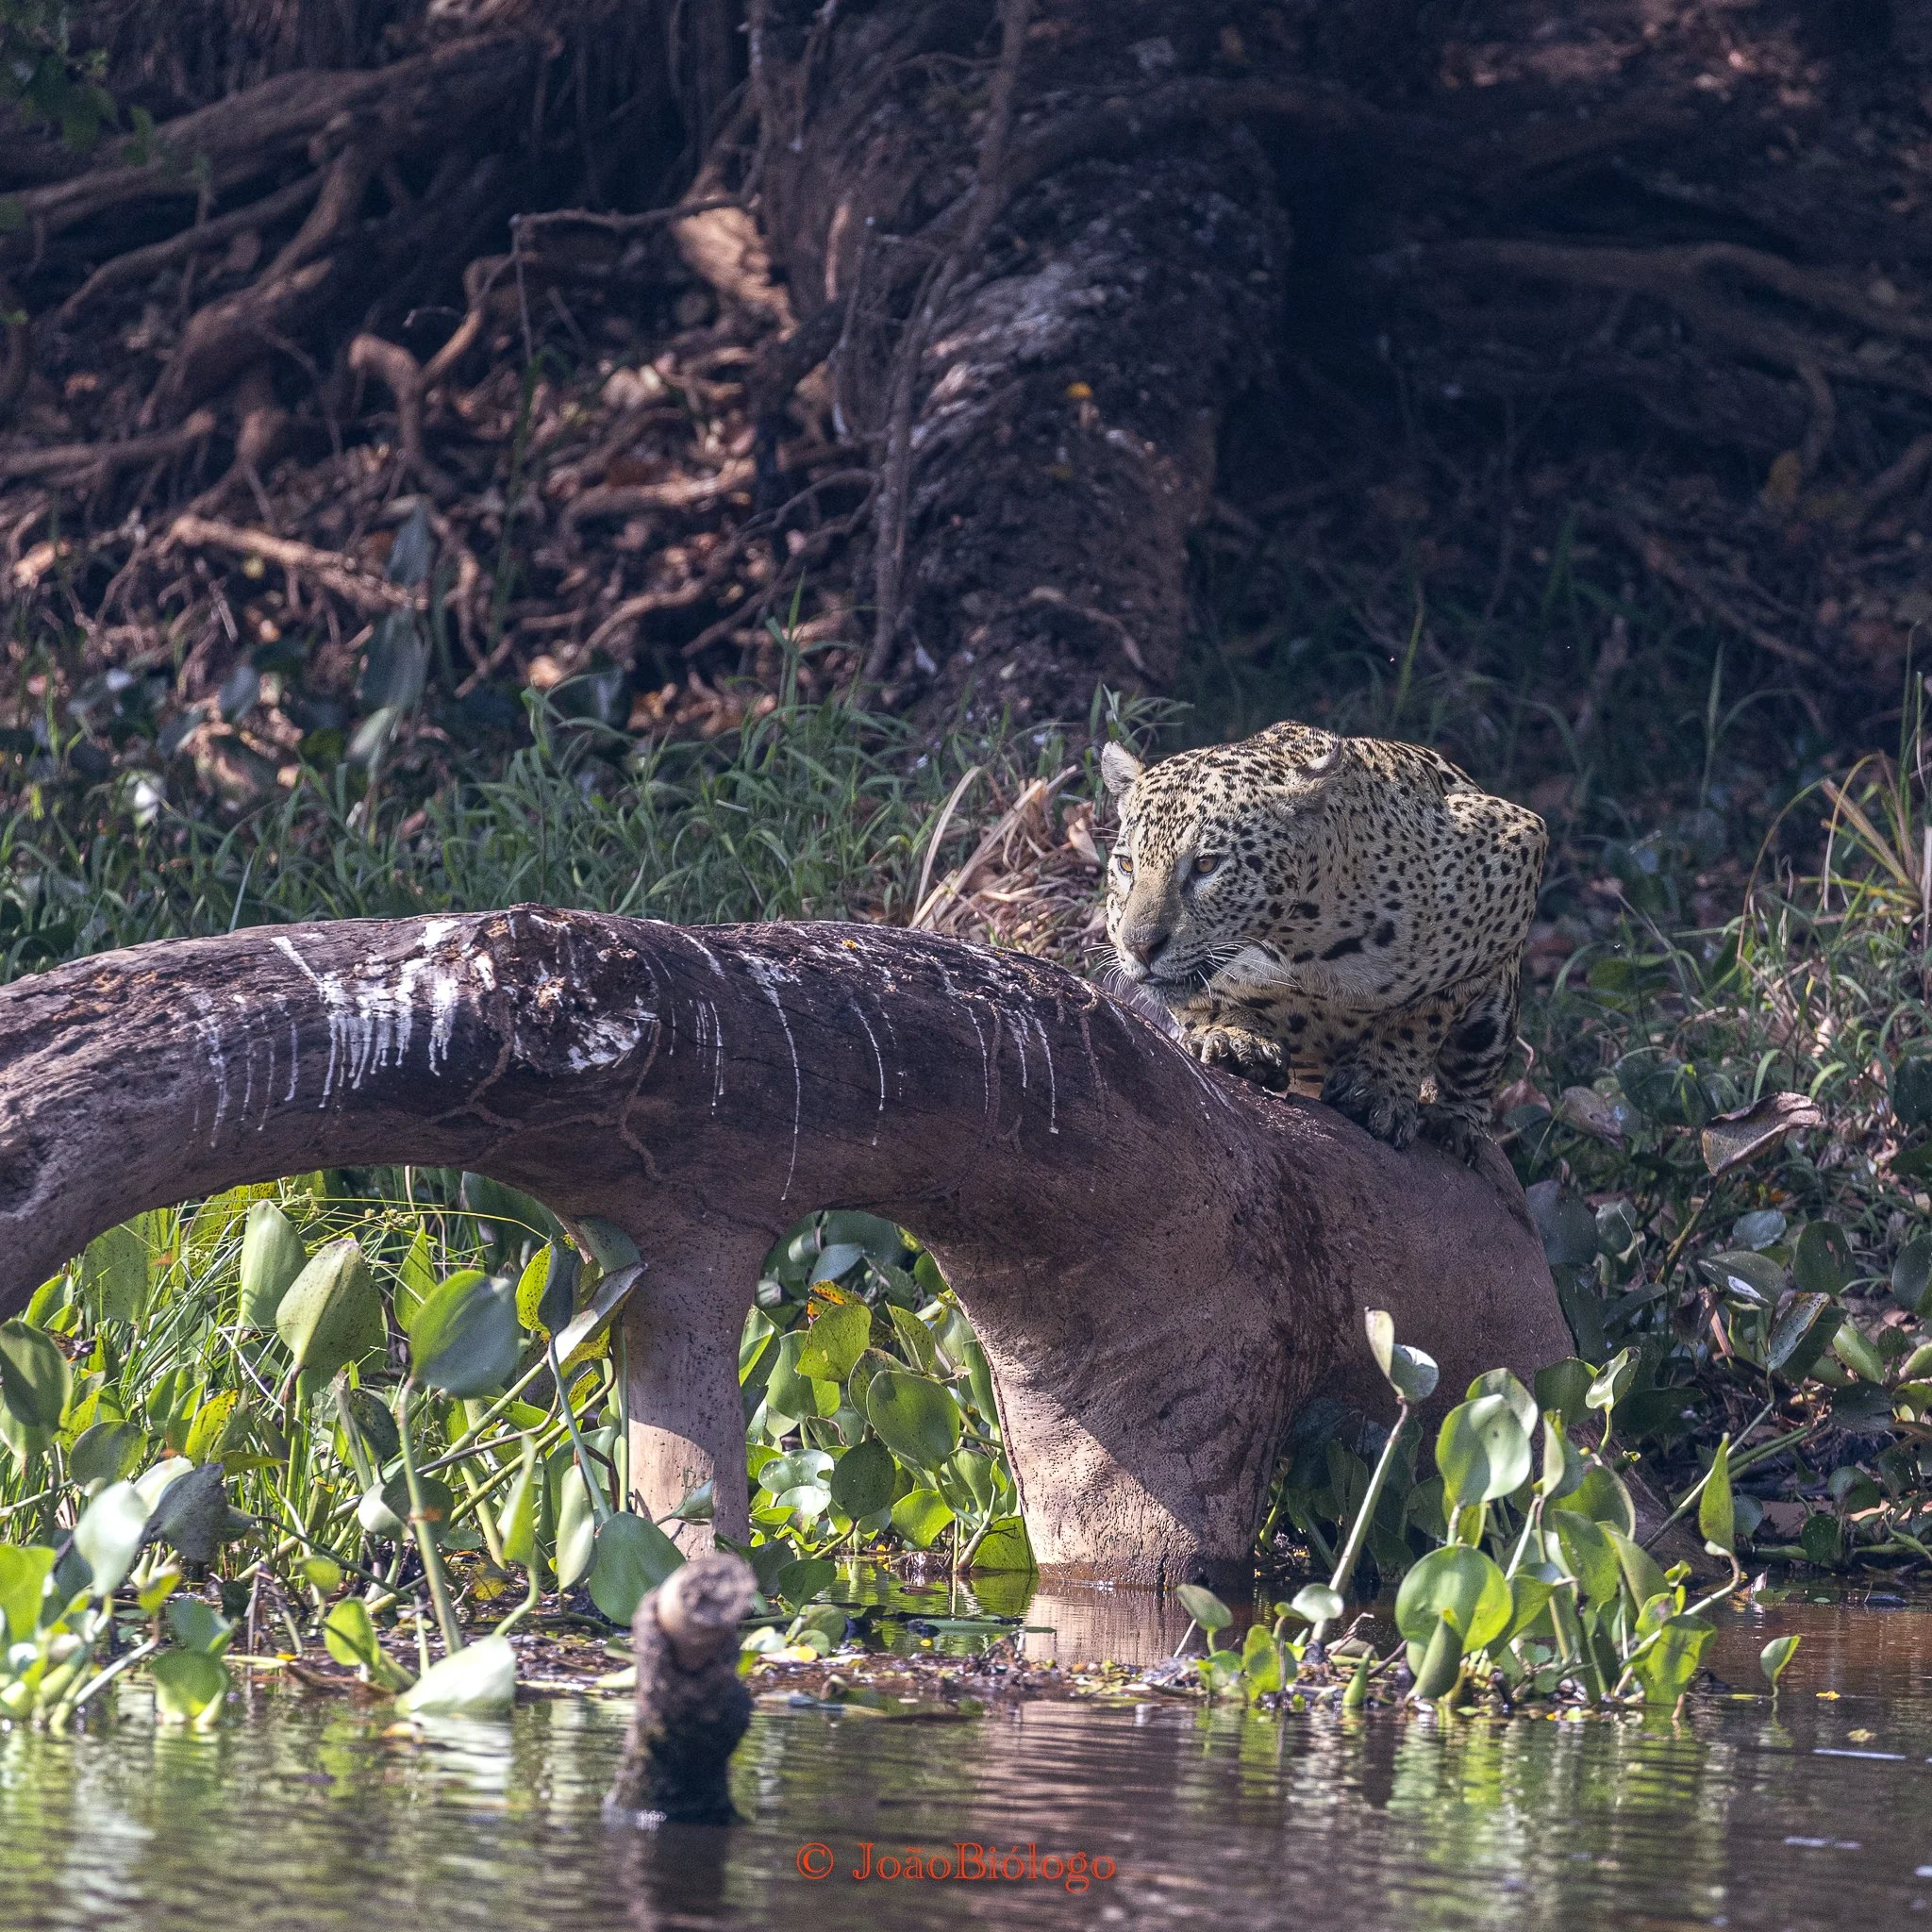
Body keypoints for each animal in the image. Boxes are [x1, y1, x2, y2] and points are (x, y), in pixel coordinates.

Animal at [1100, 720, 1547, 1162]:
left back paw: (1455, 1125)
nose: (1139, 946)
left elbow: (1428, 1010)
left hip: (1496, 1016)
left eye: (1207, 864)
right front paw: (1236, 1039)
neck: (1297, 943)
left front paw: (1379, 1083)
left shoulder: (1518, 843)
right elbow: (1198, 1005)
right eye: (1127, 865)